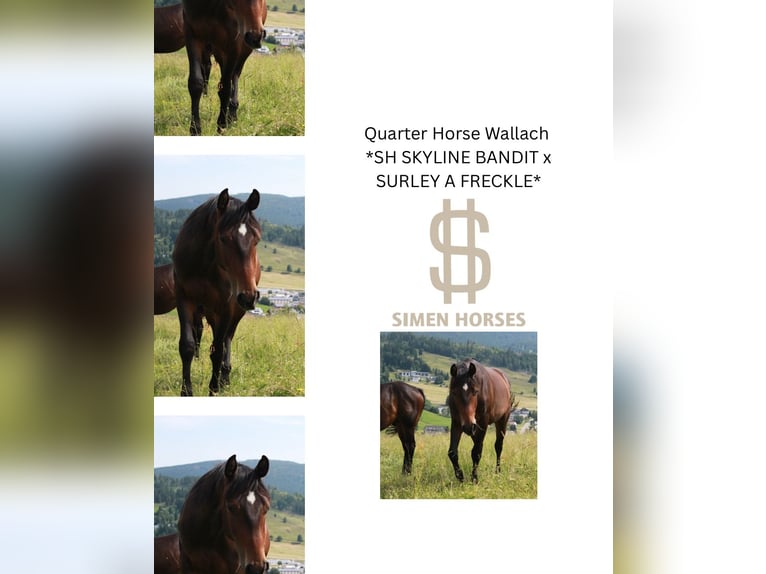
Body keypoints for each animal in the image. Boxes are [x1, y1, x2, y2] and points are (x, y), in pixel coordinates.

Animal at [172, 188, 262, 396]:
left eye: (256, 239)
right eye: (223, 238)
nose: (249, 296)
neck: (203, 265)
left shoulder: (227, 306)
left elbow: (218, 350)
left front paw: (213, 388)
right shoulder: (184, 300)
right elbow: (187, 346)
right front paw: (186, 391)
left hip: (234, 311)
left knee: (227, 339)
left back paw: (225, 377)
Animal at [182, 0, 268, 135]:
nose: (256, 36)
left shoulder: (234, 42)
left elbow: (225, 89)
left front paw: (221, 126)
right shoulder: (192, 35)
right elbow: (195, 83)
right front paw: (195, 128)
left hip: (242, 49)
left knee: (235, 75)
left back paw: (232, 113)